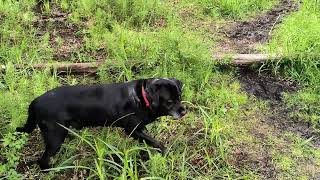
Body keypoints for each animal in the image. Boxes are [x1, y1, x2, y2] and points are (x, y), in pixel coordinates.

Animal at [16, 77, 186, 170]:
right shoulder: (132, 130)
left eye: (179, 96)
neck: (141, 97)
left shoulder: (139, 130)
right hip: (54, 138)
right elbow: (156, 142)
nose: (184, 110)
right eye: (169, 101)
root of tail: (35, 102)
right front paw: (164, 152)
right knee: (43, 161)